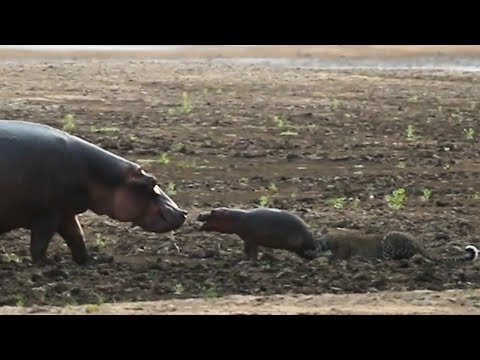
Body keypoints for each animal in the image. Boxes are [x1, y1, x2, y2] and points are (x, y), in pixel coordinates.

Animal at [0, 120, 187, 264]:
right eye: (151, 182)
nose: (183, 212)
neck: (97, 175)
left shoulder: (66, 212)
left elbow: (76, 237)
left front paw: (89, 261)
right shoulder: (47, 214)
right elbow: (40, 243)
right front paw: (44, 264)